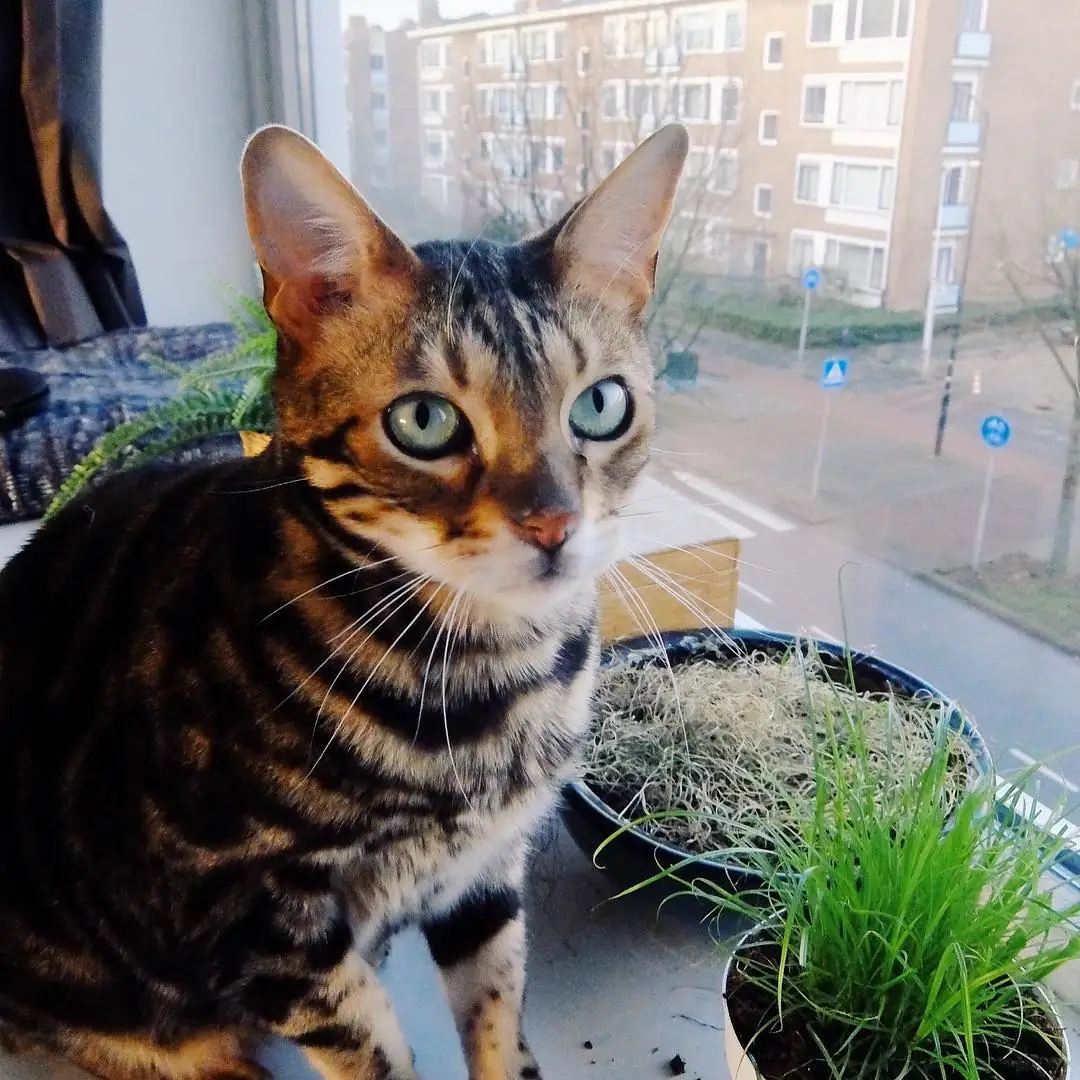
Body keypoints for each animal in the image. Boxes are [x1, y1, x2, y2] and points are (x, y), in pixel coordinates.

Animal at [0, 122, 687, 1080]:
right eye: (425, 423)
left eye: (600, 405)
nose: (552, 521)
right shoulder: (254, 928)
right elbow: (371, 1053)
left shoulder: (485, 875)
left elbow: (500, 1018)